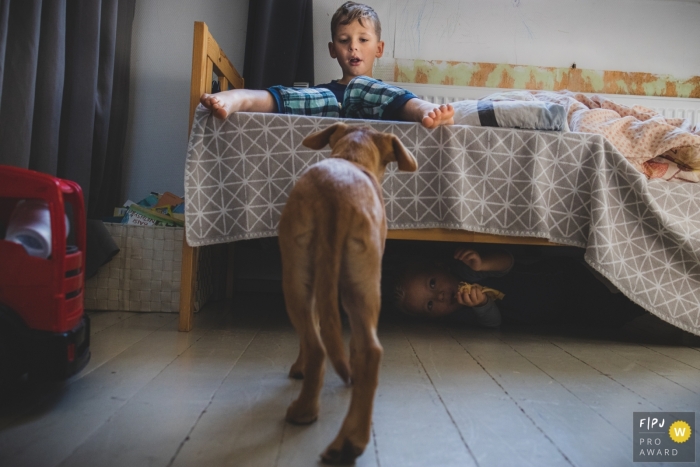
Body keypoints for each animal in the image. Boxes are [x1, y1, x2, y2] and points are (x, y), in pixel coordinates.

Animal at [278, 123, 416, 464]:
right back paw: (349, 441)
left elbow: (311, 333)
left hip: (294, 279)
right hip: (363, 284)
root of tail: (336, 195)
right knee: (369, 350)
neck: (352, 158)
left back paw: (304, 411)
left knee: (317, 346)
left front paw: (298, 368)